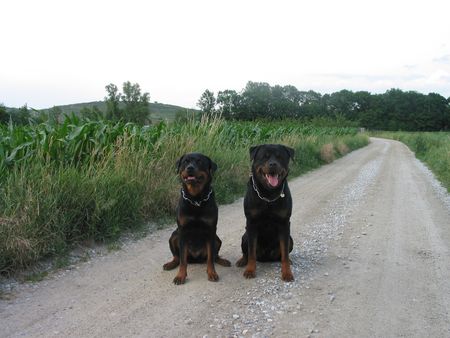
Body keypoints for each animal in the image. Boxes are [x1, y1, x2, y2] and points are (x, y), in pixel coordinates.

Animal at [163, 152, 230, 284]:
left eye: (199, 162)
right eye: (185, 162)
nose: (190, 168)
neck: (196, 199)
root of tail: (195, 259)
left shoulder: (211, 231)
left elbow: (210, 258)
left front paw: (212, 273)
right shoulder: (182, 231)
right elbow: (183, 260)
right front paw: (180, 276)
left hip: (217, 239)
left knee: (214, 256)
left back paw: (223, 261)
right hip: (174, 236)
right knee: (177, 257)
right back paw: (170, 264)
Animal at [236, 144, 296, 282]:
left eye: (280, 157)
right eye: (264, 157)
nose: (273, 164)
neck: (269, 195)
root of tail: (266, 257)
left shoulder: (284, 224)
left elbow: (285, 254)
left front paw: (287, 273)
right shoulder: (252, 224)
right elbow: (251, 253)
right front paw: (250, 270)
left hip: (290, 239)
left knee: (283, 253)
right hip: (244, 236)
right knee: (246, 252)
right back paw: (242, 261)